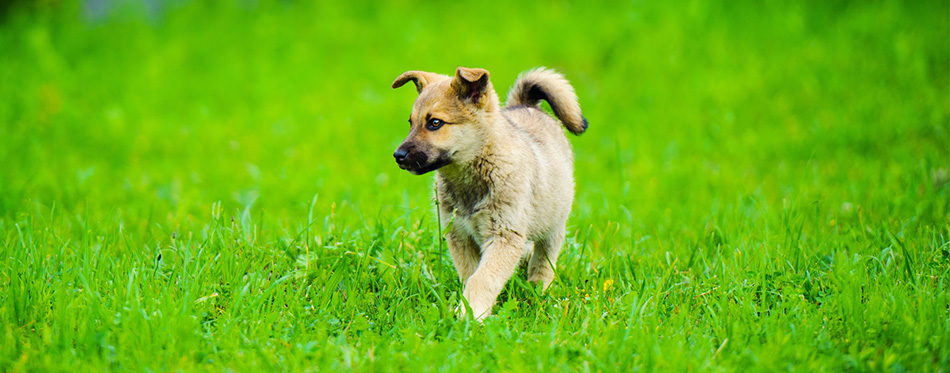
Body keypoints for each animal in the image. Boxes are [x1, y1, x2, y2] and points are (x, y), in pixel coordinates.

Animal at [392, 65, 588, 318]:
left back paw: (537, 294)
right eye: (411, 122)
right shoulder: (460, 235)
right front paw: (469, 310)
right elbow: (471, 276)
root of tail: (525, 104)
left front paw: (471, 314)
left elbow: (483, 278)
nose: (398, 156)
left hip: (552, 228)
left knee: (543, 264)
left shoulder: (504, 235)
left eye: (435, 123)